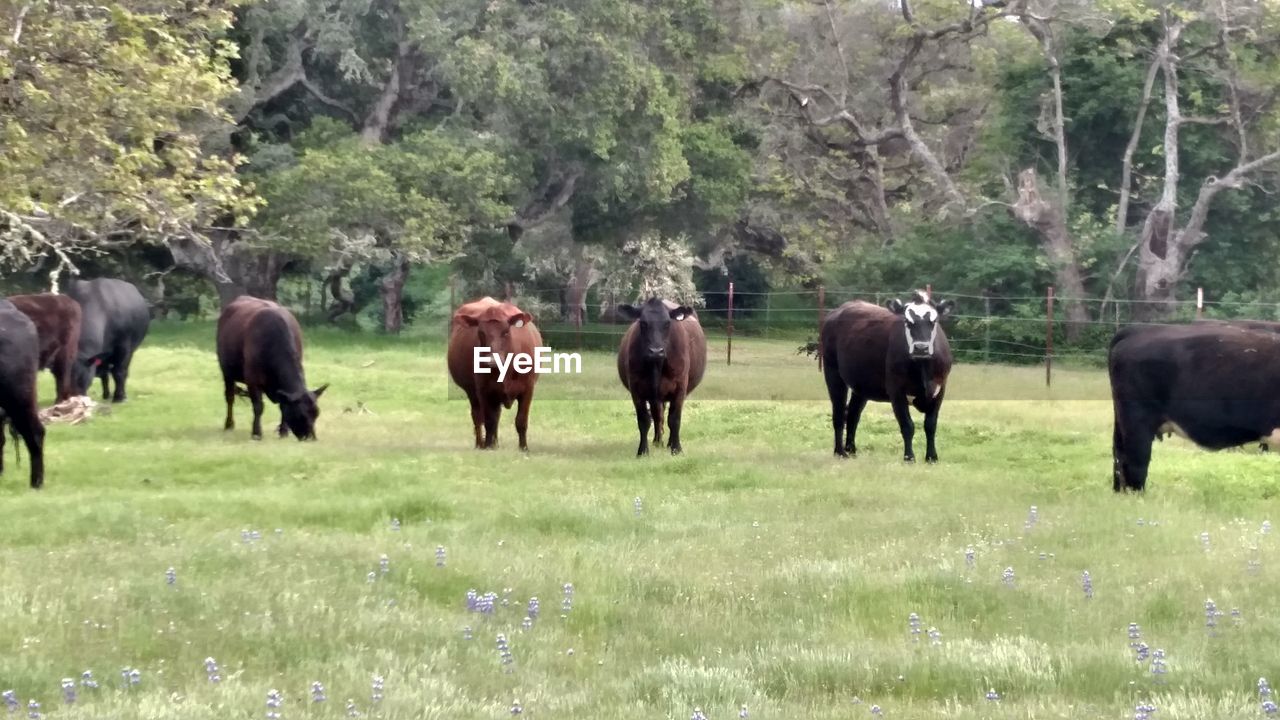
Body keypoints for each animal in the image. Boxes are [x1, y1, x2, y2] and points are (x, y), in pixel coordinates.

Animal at [216, 295, 327, 440]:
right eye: (301, 414)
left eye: (317, 413)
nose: (311, 438)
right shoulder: (253, 379)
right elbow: (258, 406)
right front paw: (256, 433)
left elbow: (283, 407)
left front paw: (283, 431)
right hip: (226, 371)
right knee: (229, 397)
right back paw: (229, 424)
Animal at [445, 297, 540, 448]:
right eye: (480, 333)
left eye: (506, 332)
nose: (492, 360)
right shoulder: (483, 390)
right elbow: (489, 420)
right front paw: (488, 446)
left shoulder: (528, 389)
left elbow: (521, 421)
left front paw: (523, 447)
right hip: (473, 392)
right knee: (478, 417)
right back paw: (481, 444)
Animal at [819, 289, 952, 458]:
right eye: (907, 322)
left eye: (933, 322)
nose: (921, 348)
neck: (922, 369)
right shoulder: (896, 390)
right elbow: (907, 425)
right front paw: (909, 457)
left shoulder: (940, 389)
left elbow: (930, 425)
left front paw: (931, 457)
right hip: (832, 372)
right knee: (839, 412)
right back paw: (840, 452)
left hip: (862, 384)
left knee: (853, 414)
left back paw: (852, 449)